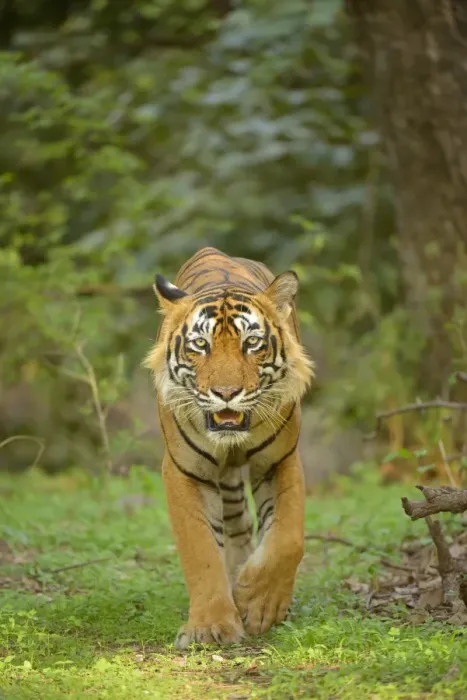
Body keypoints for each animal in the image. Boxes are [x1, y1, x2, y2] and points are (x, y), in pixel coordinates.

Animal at [144, 247, 313, 649]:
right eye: (200, 345)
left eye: (251, 343)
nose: (225, 393)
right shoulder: (184, 471)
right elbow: (200, 550)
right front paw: (210, 626)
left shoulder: (281, 461)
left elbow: (288, 538)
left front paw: (259, 603)